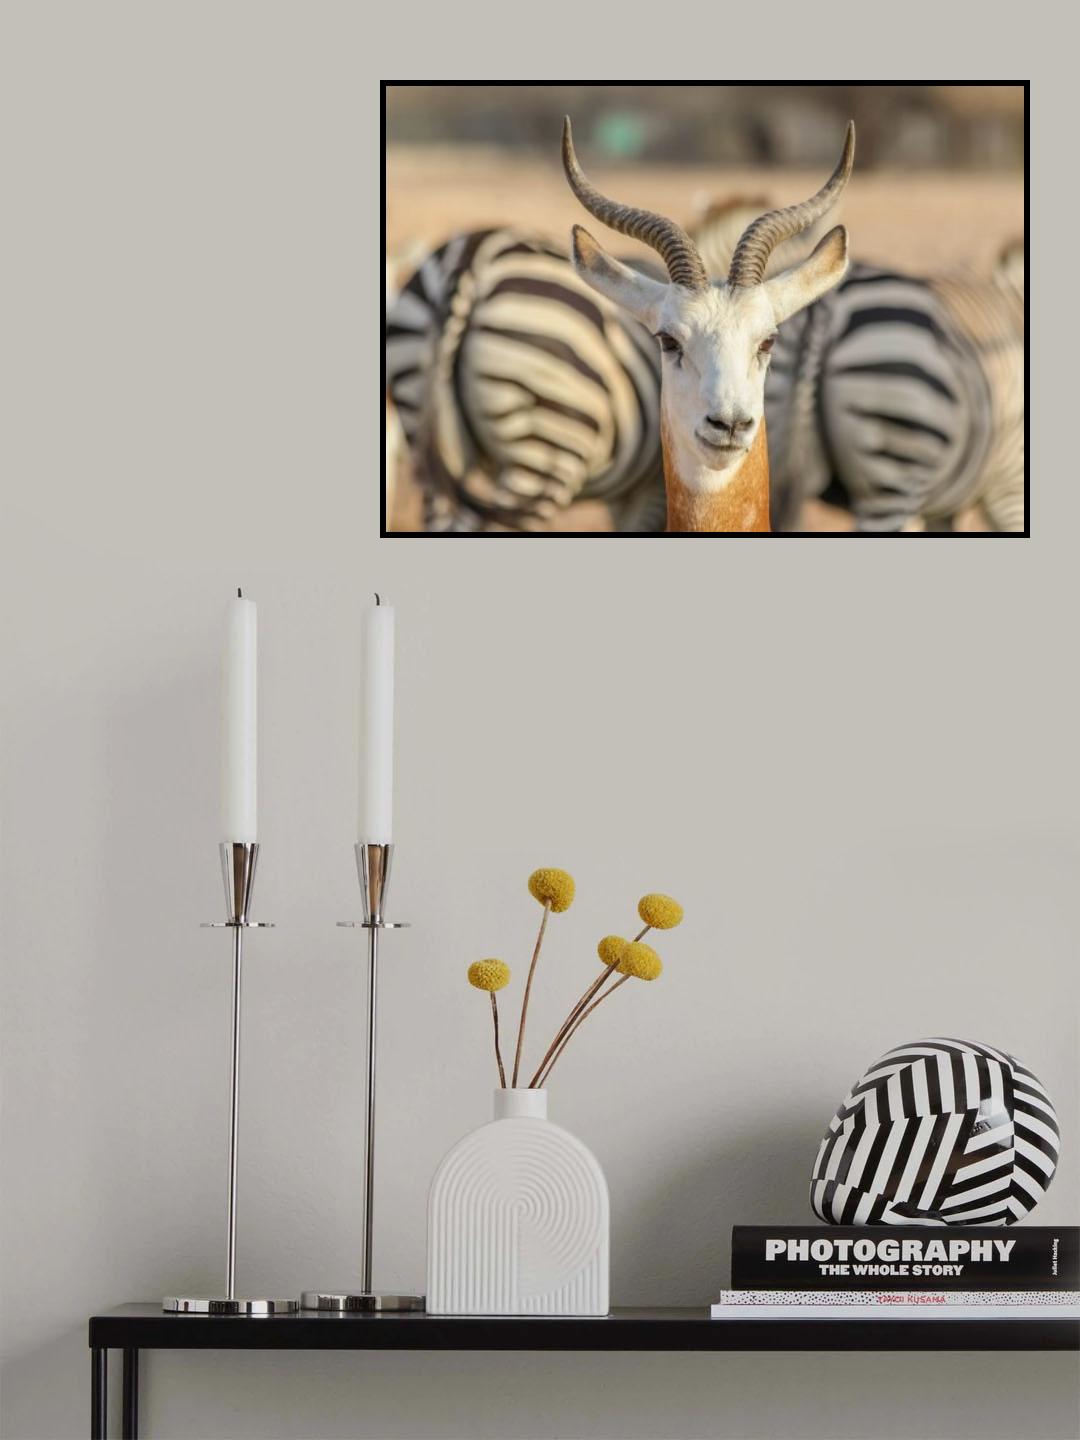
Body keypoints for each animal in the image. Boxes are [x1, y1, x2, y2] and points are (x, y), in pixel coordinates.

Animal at [386, 220, 1024, 534]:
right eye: (667, 340)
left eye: (768, 340)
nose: (730, 424)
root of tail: (473, 255)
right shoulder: (1005, 493)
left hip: (442, 458)